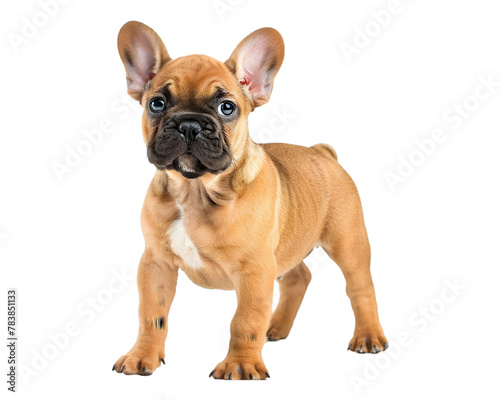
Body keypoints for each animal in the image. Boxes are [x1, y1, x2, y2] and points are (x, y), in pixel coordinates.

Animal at [113, 20, 386, 380]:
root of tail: (322, 153)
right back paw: (276, 327)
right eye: (156, 104)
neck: (195, 191)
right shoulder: (156, 263)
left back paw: (368, 336)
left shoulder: (255, 270)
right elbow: (151, 313)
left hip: (348, 242)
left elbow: (245, 319)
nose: (189, 124)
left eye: (226, 108)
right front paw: (142, 354)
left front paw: (240, 365)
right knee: (298, 277)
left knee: (360, 287)